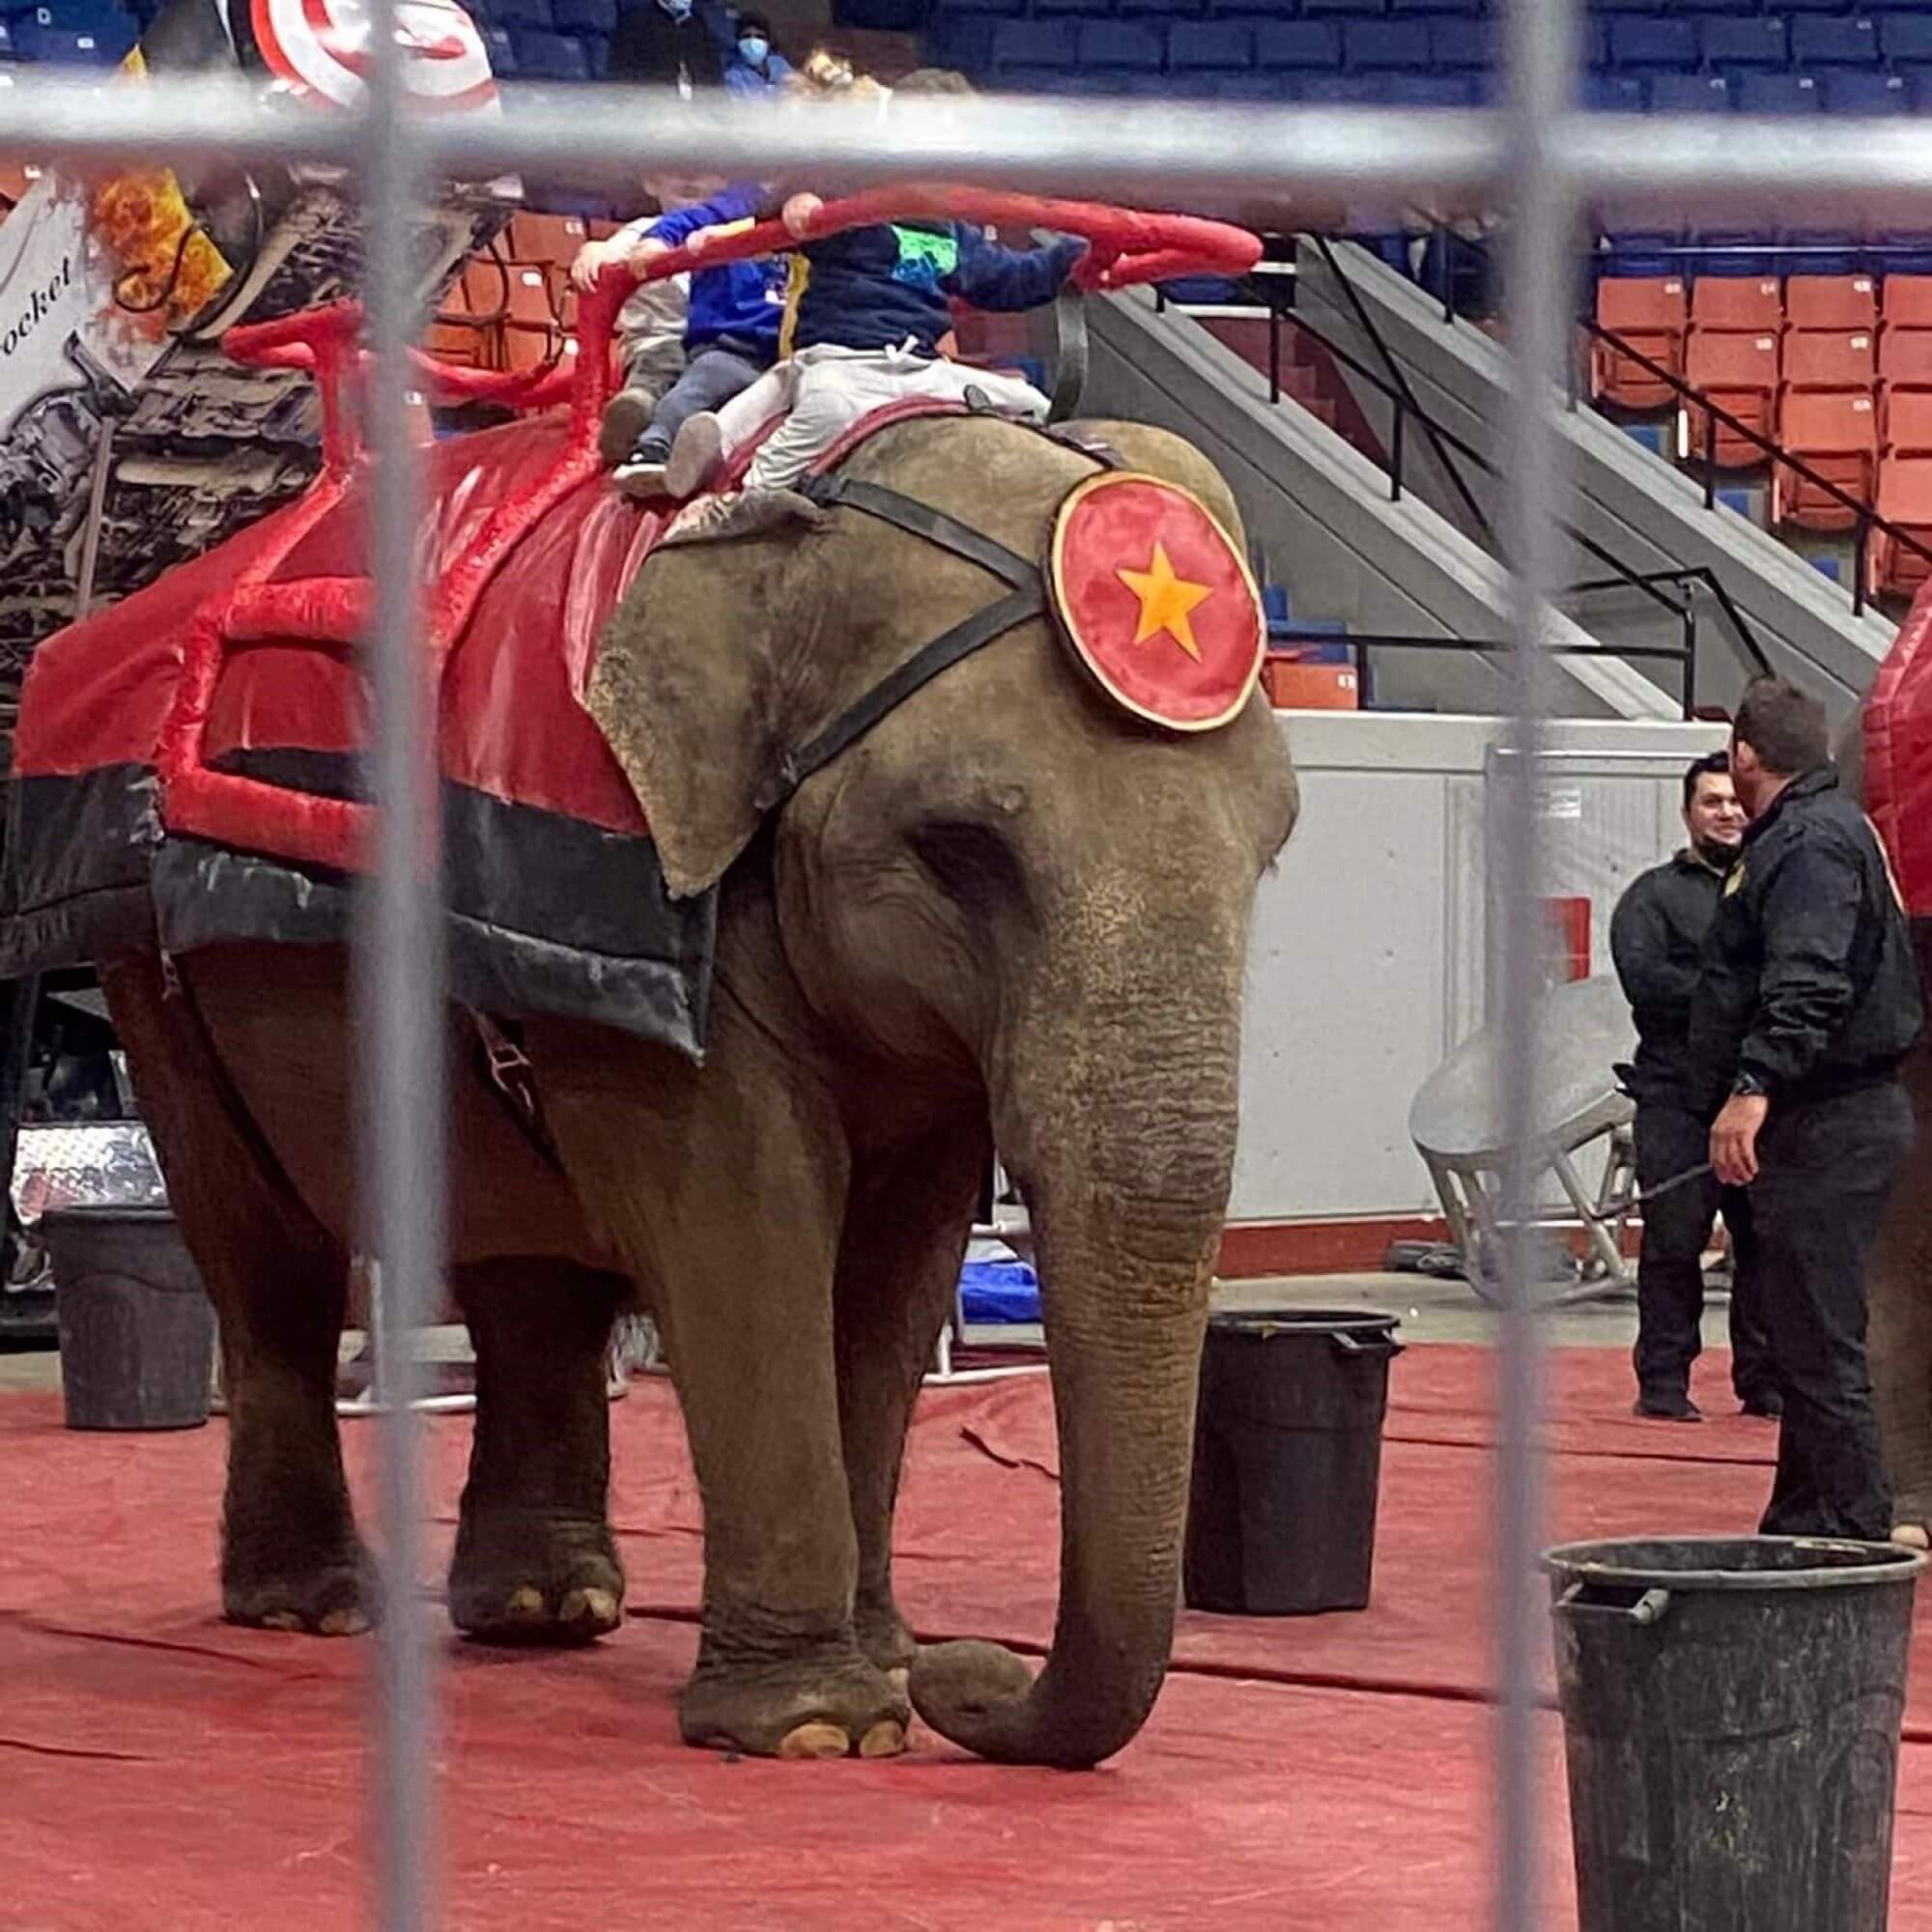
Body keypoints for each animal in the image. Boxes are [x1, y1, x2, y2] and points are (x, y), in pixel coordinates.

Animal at [98, 413, 1298, 1768]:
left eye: (1273, 845)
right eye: (959, 849)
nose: (971, 1672)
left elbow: (896, 1266)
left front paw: (883, 1667)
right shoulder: (657, 881)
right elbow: (744, 1214)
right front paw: (826, 1727)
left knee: (527, 1262)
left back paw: (542, 1606)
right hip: (149, 972)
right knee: (266, 1261)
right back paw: (313, 1606)